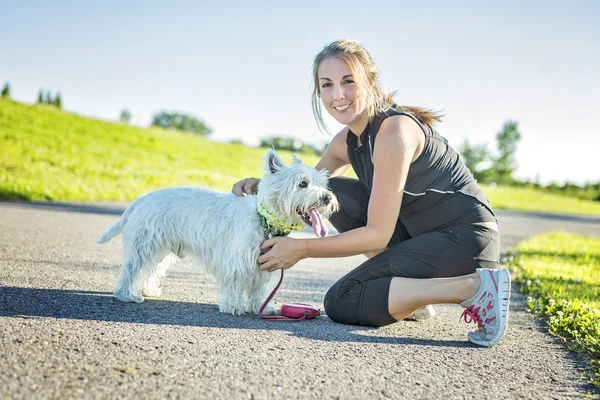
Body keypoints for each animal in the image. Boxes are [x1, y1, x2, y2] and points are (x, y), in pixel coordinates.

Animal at [94, 150, 338, 316]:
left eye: (323, 184)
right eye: (302, 183)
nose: (327, 197)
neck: (264, 219)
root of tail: (142, 197)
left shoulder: (263, 262)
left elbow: (259, 288)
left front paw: (261, 307)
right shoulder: (237, 260)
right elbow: (235, 283)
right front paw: (233, 306)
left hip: (162, 247)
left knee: (151, 270)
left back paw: (149, 291)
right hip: (145, 244)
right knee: (132, 269)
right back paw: (128, 295)